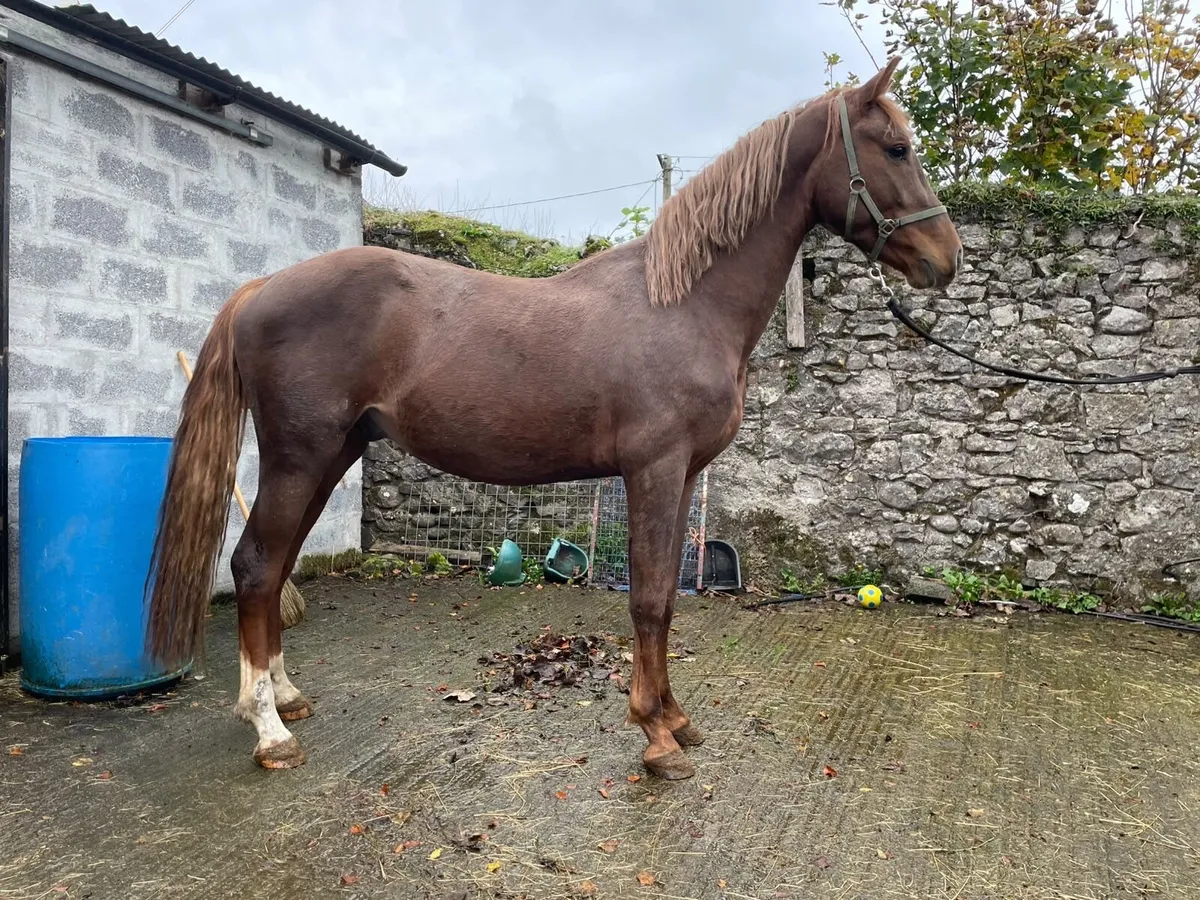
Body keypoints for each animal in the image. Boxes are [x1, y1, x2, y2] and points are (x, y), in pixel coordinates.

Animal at [144, 57, 962, 780]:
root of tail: (261, 288)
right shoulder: (653, 471)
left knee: (276, 566)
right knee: (254, 566)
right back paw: (269, 730)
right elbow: (650, 599)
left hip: (333, 454)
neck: (684, 303)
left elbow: (667, 598)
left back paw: (284, 697)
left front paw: (675, 719)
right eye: (896, 148)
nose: (945, 259)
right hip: (300, 456)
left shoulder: (681, 476)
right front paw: (655, 736)